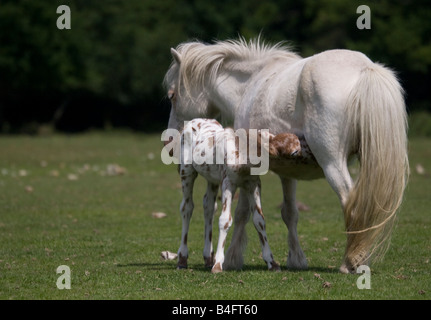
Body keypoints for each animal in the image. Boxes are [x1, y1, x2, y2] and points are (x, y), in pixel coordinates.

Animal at [172, 117, 308, 272]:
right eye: (294, 152)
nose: (305, 157)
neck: (242, 156)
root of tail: (193, 121)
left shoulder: (253, 184)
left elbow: (259, 220)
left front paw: (272, 262)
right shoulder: (227, 183)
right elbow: (225, 220)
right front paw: (218, 265)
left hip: (212, 179)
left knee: (209, 207)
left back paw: (208, 258)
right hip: (186, 172)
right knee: (187, 208)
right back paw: (182, 259)